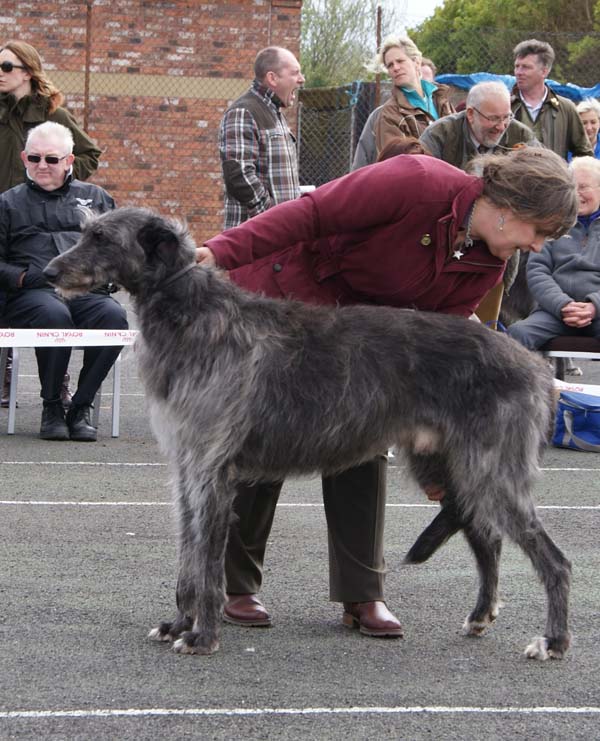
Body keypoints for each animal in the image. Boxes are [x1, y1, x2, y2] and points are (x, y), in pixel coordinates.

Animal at [45, 207, 572, 660]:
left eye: (101, 237)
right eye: (85, 231)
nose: (49, 273)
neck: (192, 312)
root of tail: (535, 366)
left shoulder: (211, 471)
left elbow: (207, 563)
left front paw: (202, 636)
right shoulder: (187, 469)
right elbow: (187, 557)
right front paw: (178, 624)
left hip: (492, 469)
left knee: (553, 559)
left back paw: (553, 641)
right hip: (453, 466)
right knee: (487, 538)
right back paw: (481, 616)